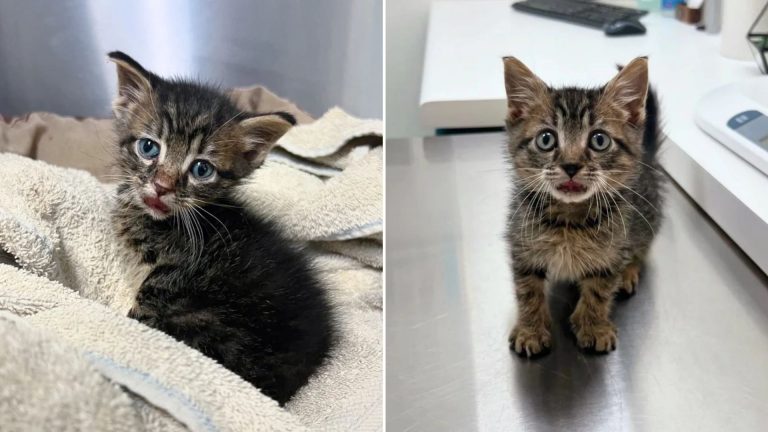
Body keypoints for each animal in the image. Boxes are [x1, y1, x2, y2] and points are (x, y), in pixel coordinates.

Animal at [500, 55, 664, 356]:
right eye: (546, 139)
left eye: (599, 140)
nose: (571, 165)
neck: (569, 220)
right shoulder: (522, 244)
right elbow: (527, 290)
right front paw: (531, 330)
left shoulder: (612, 251)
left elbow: (599, 290)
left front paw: (593, 326)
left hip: (646, 220)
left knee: (640, 250)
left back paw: (629, 272)